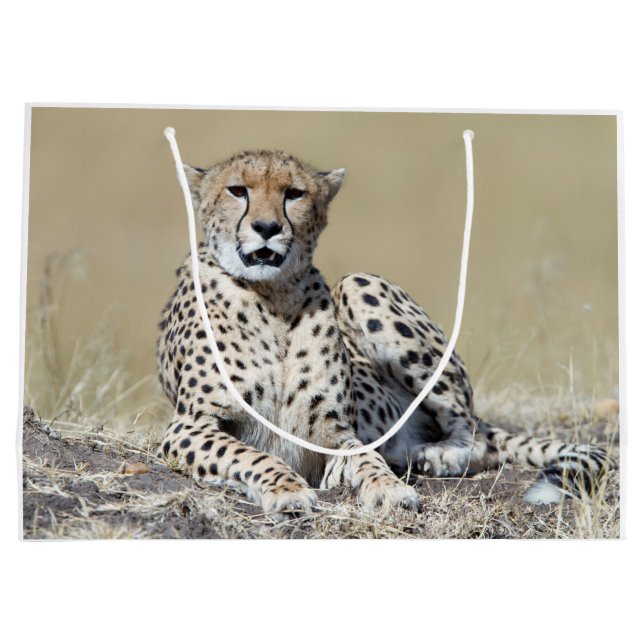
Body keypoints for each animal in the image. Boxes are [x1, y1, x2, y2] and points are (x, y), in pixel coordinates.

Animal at [156, 149, 611, 517]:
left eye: (294, 194)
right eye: (237, 191)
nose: (267, 227)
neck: (273, 297)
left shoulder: (336, 434)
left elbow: (365, 459)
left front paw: (389, 489)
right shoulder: (189, 426)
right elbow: (250, 455)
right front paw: (286, 490)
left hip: (358, 284)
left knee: (476, 435)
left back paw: (439, 455)